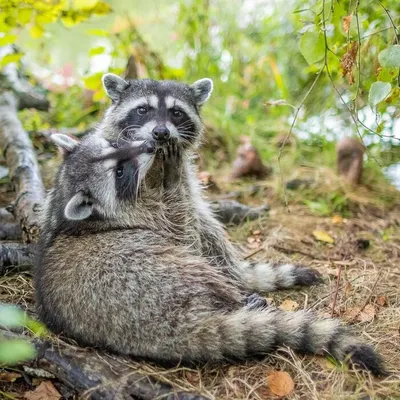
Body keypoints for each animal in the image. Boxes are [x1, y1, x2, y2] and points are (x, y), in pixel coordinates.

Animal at [36, 133, 386, 376]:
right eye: (119, 171)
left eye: (114, 144)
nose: (149, 144)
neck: (66, 194)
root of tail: (174, 330)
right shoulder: (142, 219)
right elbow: (181, 226)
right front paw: (172, 171)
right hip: (152, 275)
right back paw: (240, 297)